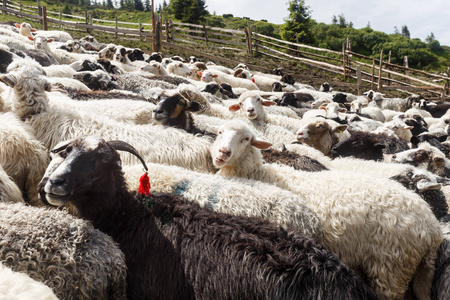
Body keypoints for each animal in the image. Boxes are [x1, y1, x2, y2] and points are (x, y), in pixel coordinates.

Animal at [210, 119, 442, 300]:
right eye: (219, 132)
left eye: (245, 139)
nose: (222, 153)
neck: (263, 174)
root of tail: (433, 228)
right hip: (414, 272)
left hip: (392, 270)